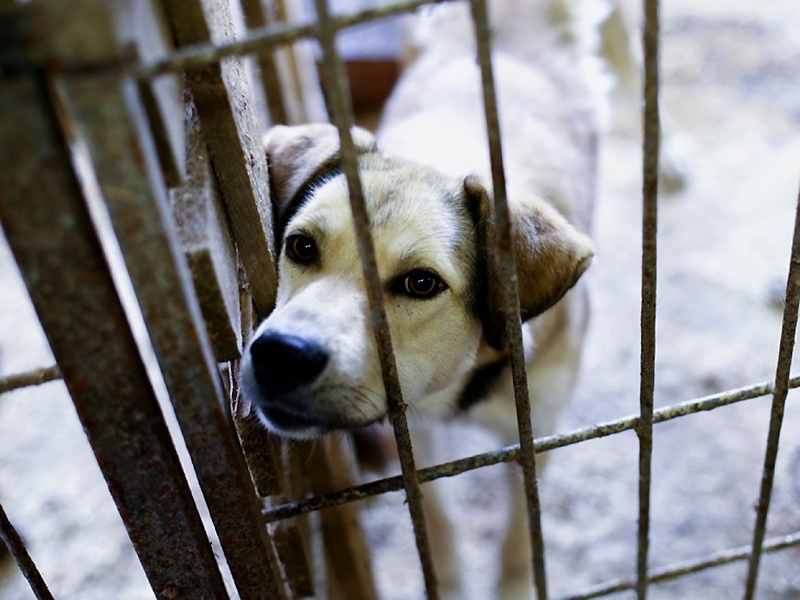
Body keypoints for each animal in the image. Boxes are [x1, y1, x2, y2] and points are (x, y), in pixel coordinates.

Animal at [238, 0, 676, 596]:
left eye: (421, 283)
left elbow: (520, 539)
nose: (280, 356)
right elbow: (438, 521)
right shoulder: (414, 431)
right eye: (301, 246)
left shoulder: (537, 433)